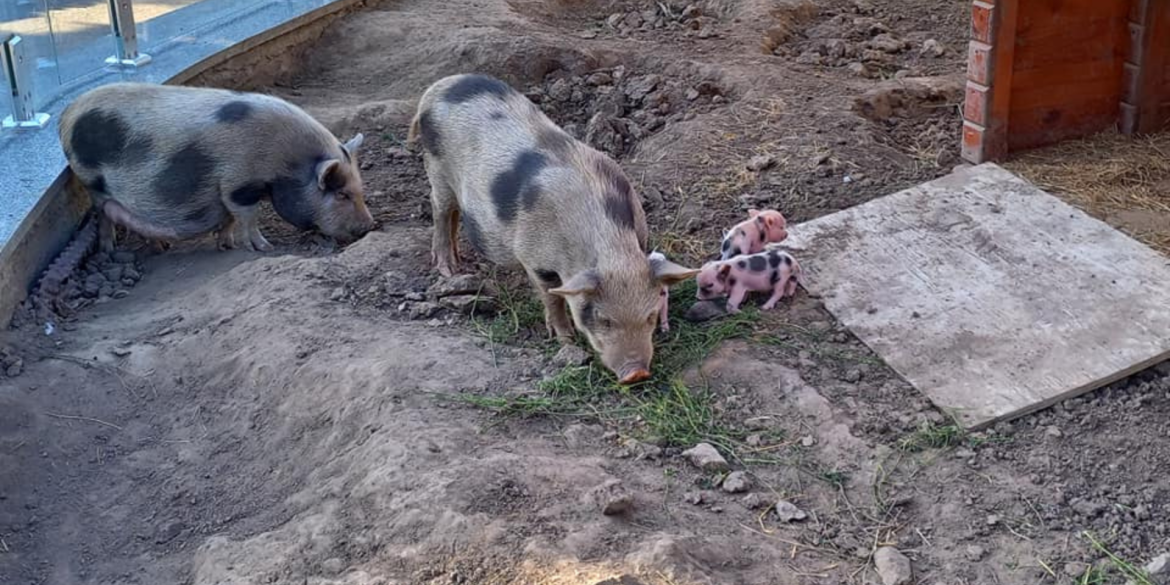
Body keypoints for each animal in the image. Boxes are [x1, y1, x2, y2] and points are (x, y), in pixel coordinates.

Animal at [58, 83, 374, 253]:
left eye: (360, 190)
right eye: (342, 194)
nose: (370, 227)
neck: (287, 164)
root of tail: (67, 113)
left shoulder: (226, 190)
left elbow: (229, 218)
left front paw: (227, 245)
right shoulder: (238, 184)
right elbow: (247, 217)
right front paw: (264, 248)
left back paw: (160, 248)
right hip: (91, 181)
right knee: (103, 214)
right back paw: (110, 249)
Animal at [409, 73, 692, 383]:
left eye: (650, 316)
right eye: (604, 319)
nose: (636, 373)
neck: (607, 246)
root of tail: (436, 88)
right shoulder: (534, 259)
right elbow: (552, 298)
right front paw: (565, 340)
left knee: (455, 213)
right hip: (436, 169)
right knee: (439, 210)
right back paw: (448, 270)